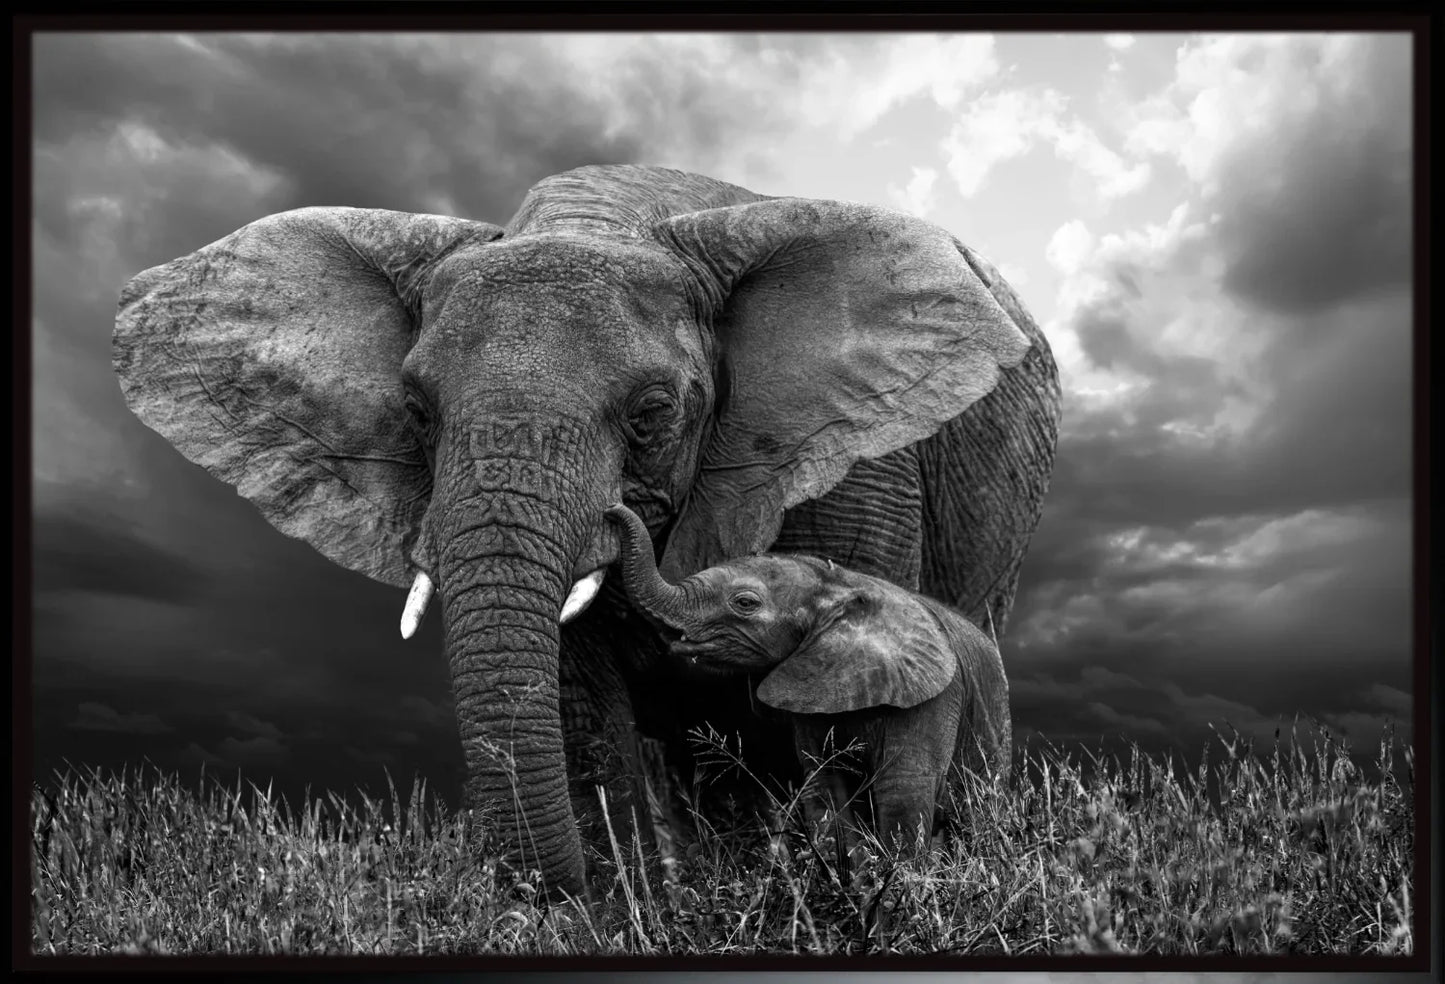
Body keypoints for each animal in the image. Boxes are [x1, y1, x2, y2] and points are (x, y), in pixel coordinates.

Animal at [605, 503, 1011, 857]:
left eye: (745, 603)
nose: (611, 510)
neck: (838, 585)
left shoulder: (930, 700)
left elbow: (903, 794)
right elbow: (825, 792)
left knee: (975, 818)